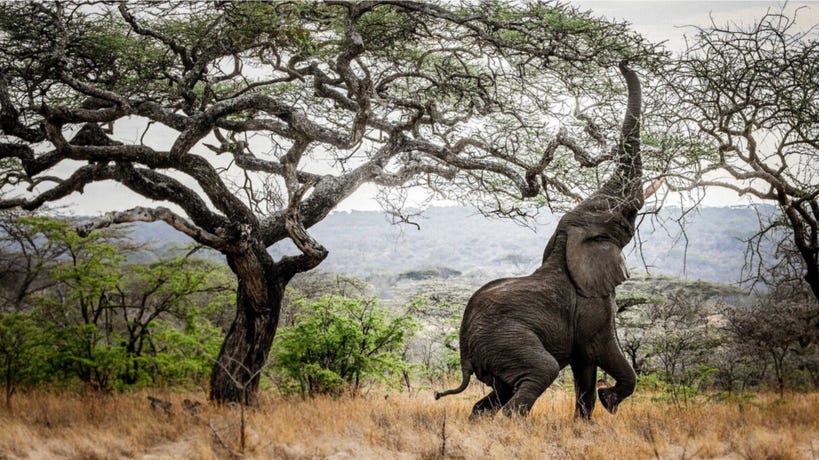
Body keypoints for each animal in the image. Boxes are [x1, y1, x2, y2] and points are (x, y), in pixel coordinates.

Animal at [438, 62, 644, 420]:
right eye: (619, 215)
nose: (622, 62)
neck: (564, 244)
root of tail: (464, 350)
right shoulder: (592, 305)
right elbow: (605, 351)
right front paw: (610, 400)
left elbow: (585, 370)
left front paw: (585, 423)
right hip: (507, 340)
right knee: (537, 374)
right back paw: (512, 425)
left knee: (497, 394)